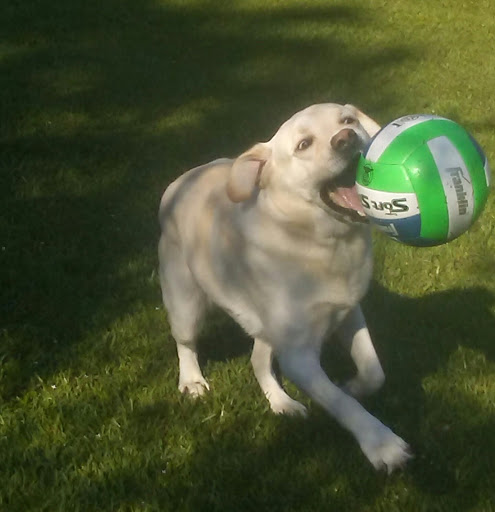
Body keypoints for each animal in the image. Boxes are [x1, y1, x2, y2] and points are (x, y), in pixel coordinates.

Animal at [158, 103, 410, 472]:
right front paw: (381, 443)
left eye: (347, 121)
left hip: (265, 328)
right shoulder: (299, 355)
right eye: (304, 144)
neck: (321, 242)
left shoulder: (348, 312)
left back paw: (283, 404)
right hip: (185, 303)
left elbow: (373, 370)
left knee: (257, 361)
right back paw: (191, 381)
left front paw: (354, 386)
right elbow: (340, 403)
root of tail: (179, 181)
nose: (347, 138)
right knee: (185, 344)